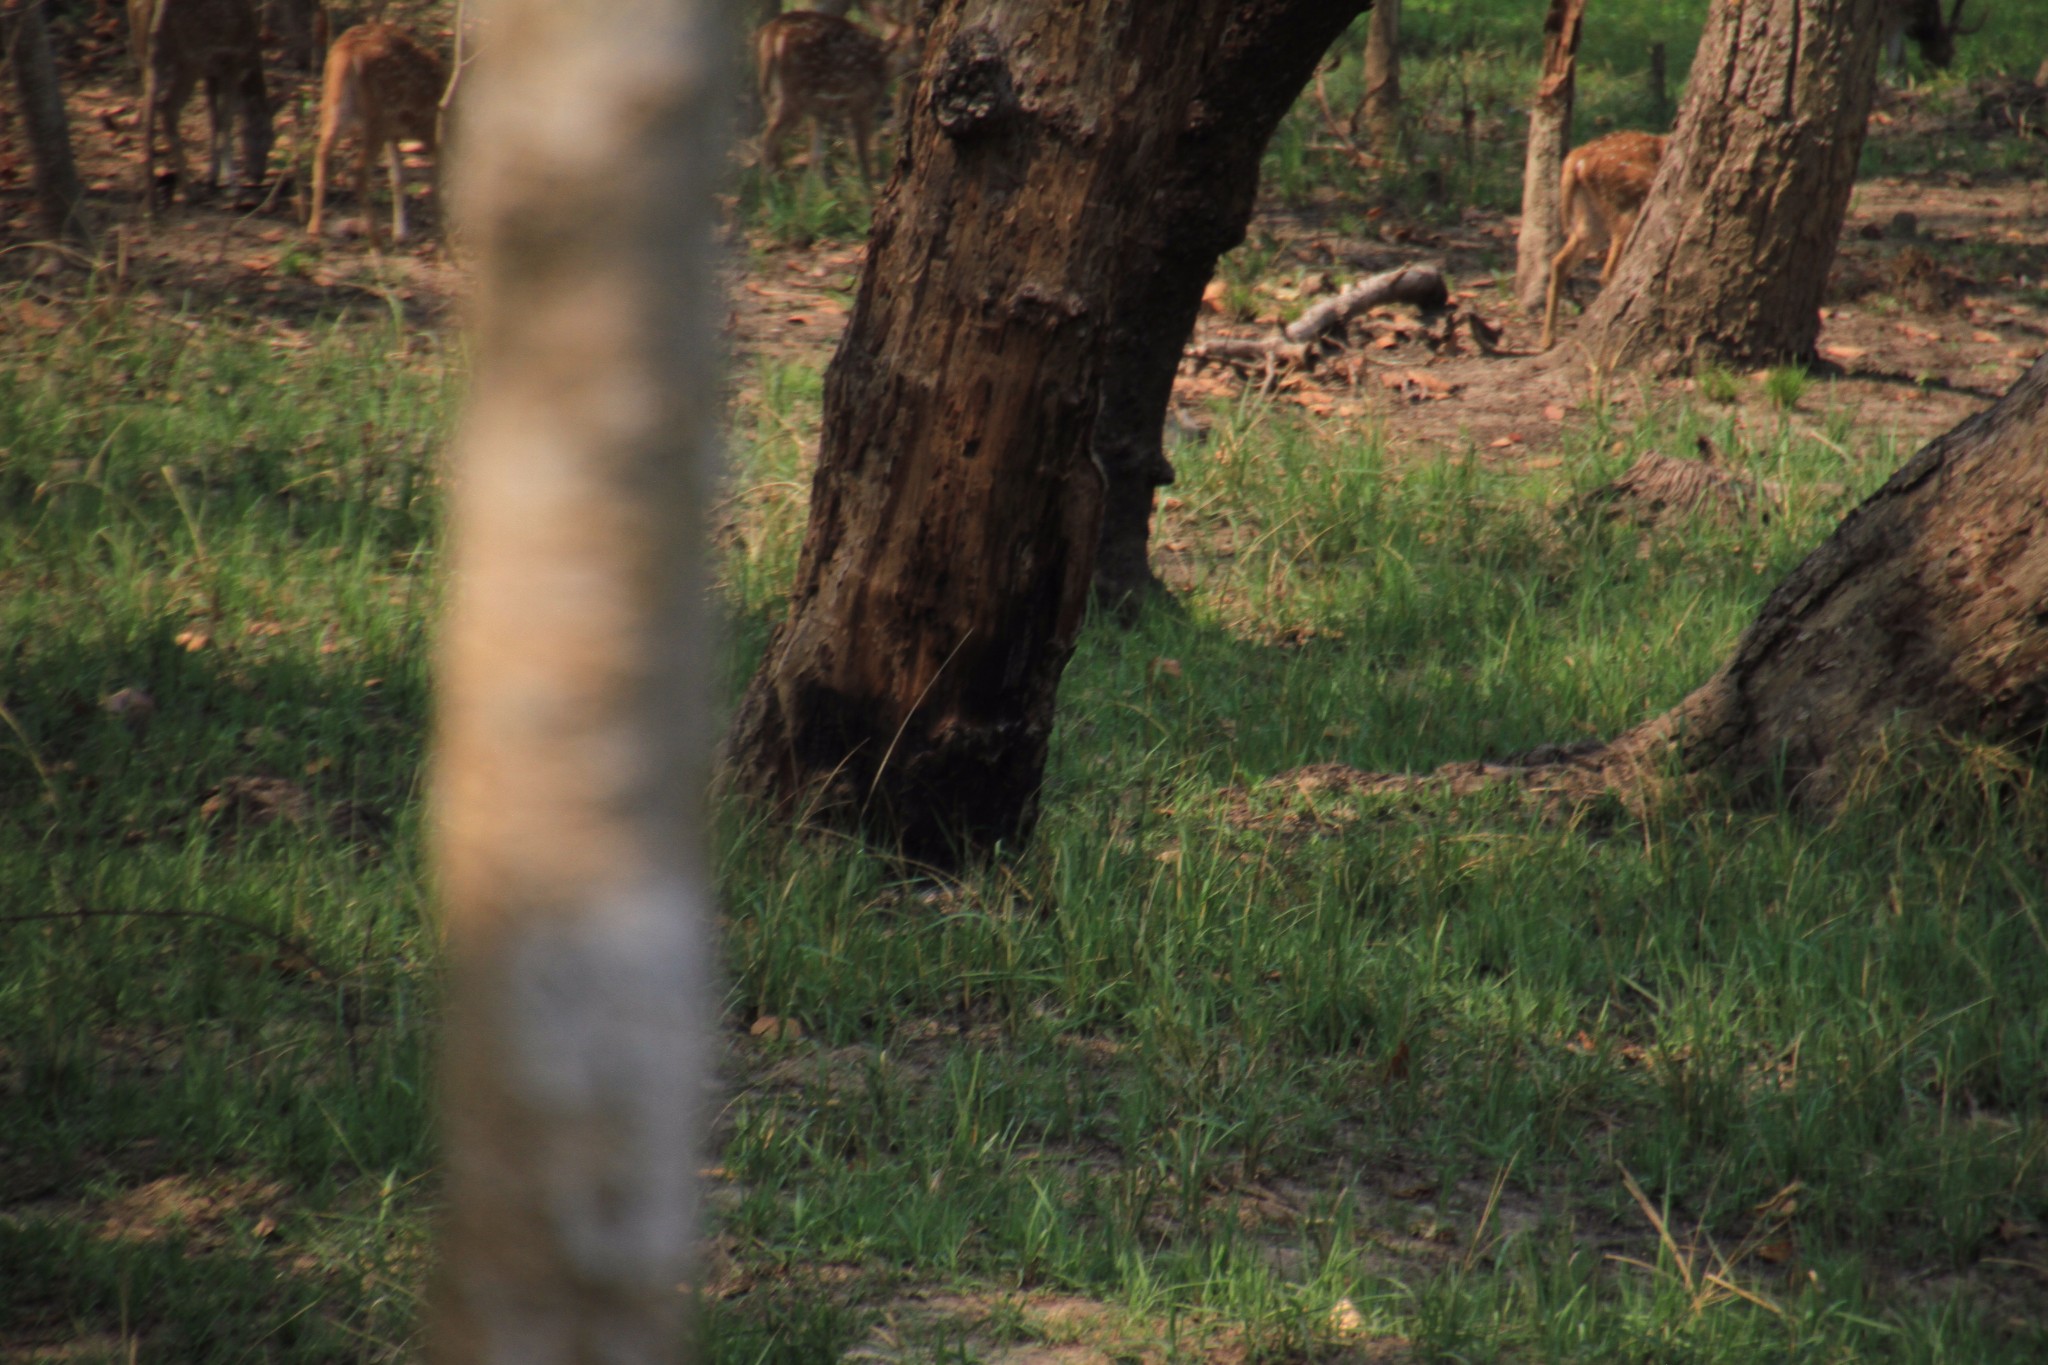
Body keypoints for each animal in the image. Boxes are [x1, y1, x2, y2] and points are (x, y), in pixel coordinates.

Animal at [128, 0, 274, 210]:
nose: (259, 176)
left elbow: (213, 120)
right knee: (165, 108)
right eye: (267, 135)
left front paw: (212, 179)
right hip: (188, 56)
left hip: (145, 51)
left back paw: (162, 194)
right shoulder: (229, 62)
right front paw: (232, 187)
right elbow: (225, 122)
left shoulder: (211, 73)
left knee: (152, 109)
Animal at [307, 22, 444, 245]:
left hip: (334, 105)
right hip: (377, 116)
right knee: (359, 170)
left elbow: (398, 177)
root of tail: (348, 51)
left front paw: (401, 233)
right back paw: (374, 238)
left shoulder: (394, 134)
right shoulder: (428, 125)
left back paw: (314, 230)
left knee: (321, 155)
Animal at [753, 10, 905, 188]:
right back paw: (769, 189)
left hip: (770, 94)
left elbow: (816, 154)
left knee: (772, 136)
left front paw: (816, 191)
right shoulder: (861, 102)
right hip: (792, 96)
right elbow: (861, 149)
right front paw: (868, 187)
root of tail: (771, 34)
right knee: (768, 139)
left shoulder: (820, 111)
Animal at [1540, 129, 1662, 351]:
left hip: (1588, 217)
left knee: (1559, 262)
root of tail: (1577, 159)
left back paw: (1548, 339)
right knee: (1608, 271)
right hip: (1626, 207)